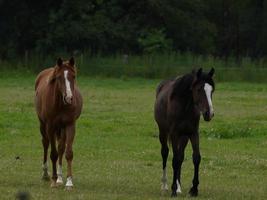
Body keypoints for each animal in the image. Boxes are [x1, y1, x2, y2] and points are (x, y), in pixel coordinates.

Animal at [34, 57, 82, 188]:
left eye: (73, 76)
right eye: (59, 77)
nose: (69, 98)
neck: (61, 104)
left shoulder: (70, 125)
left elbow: (68, 152)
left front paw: (69, 182)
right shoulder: (50, 126)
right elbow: (53, 154)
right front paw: (54, 180)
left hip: (61, 128)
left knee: (61, 147)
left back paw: (60, 178)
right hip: (43, 125)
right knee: (46, 144)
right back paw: (46, 174)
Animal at [155, 68, 216, 197]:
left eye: (212, 90)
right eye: (199, 89)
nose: (209, 113)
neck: (185, 108)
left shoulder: (193, 133)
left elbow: (196, 158)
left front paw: (194, 189)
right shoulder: (174, 134)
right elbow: (174, 160)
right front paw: (173, 189)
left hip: (184, 137)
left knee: (180, 156)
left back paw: (179, 186)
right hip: (163, 132)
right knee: (165, 153)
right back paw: (165, 184)